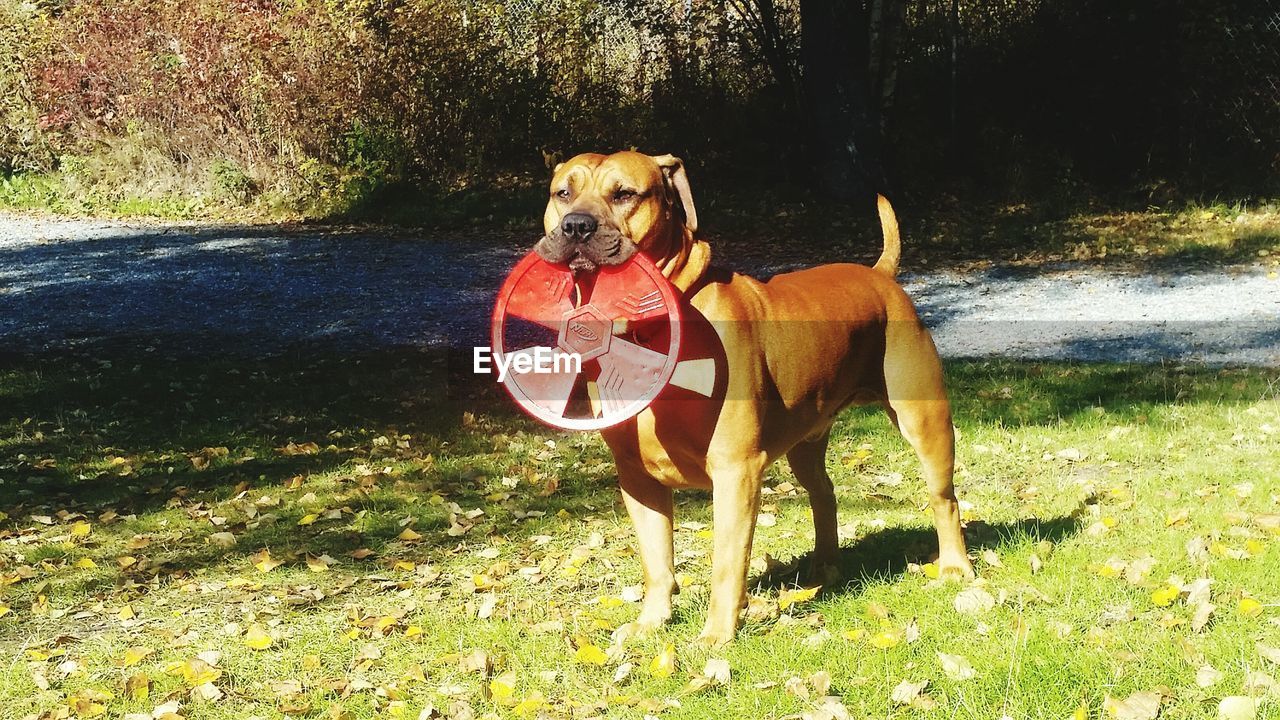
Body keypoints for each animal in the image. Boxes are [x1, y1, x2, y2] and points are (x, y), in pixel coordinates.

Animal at [535, 148, 972, 640]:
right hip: (807, 440)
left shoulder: (734, 470)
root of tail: (881, 276)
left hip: (925, 420)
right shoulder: (637, 476)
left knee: (944, 497)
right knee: (824, 493)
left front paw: (716, 635)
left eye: (624, 194)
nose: (576, 225)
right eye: (563, 193)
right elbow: (657, 561)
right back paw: (824, 570)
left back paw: (955, 568)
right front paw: (651, 623)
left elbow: (727, 563)